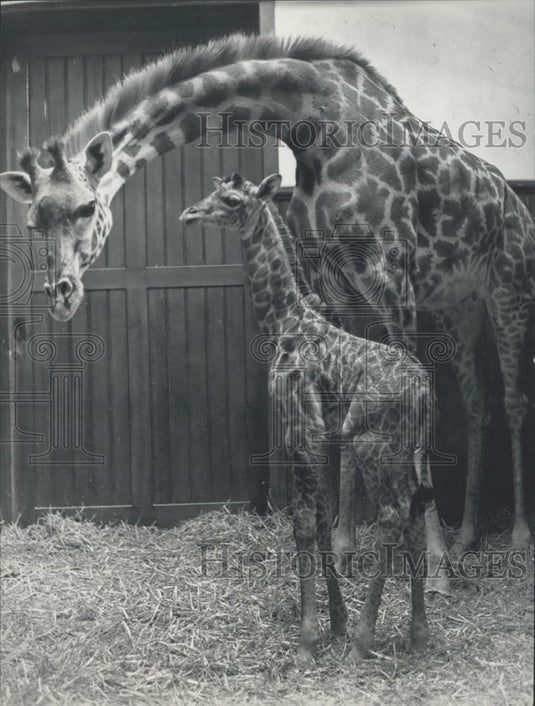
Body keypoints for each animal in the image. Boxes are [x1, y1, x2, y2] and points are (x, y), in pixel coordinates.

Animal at [1, 33, 533, 554]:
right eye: (33, 222)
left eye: (87, 208)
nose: (61, 294)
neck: (315, 124)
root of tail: (518, 205)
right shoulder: (331, 276)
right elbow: (344, 410)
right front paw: (343, 541)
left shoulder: (391, 273)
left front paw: (429, 553)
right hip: (458, 305)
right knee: (478, 403)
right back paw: (466, 537)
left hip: (509, 290)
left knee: (513, 399)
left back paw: (515, 536)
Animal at [180, 171, 440, 661]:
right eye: (214, 189)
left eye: (232, 199)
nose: (189, 213)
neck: (283, 322)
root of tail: (424, 391)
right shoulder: (322, 437)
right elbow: (321, 521)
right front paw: (334, 622)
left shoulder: (303, 429)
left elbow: (302, 523)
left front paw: (309, 637)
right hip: (403, 449)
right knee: (414, 515)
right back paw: (418, 636)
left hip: (371, 444)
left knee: (392, 517)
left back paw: (364, 642)